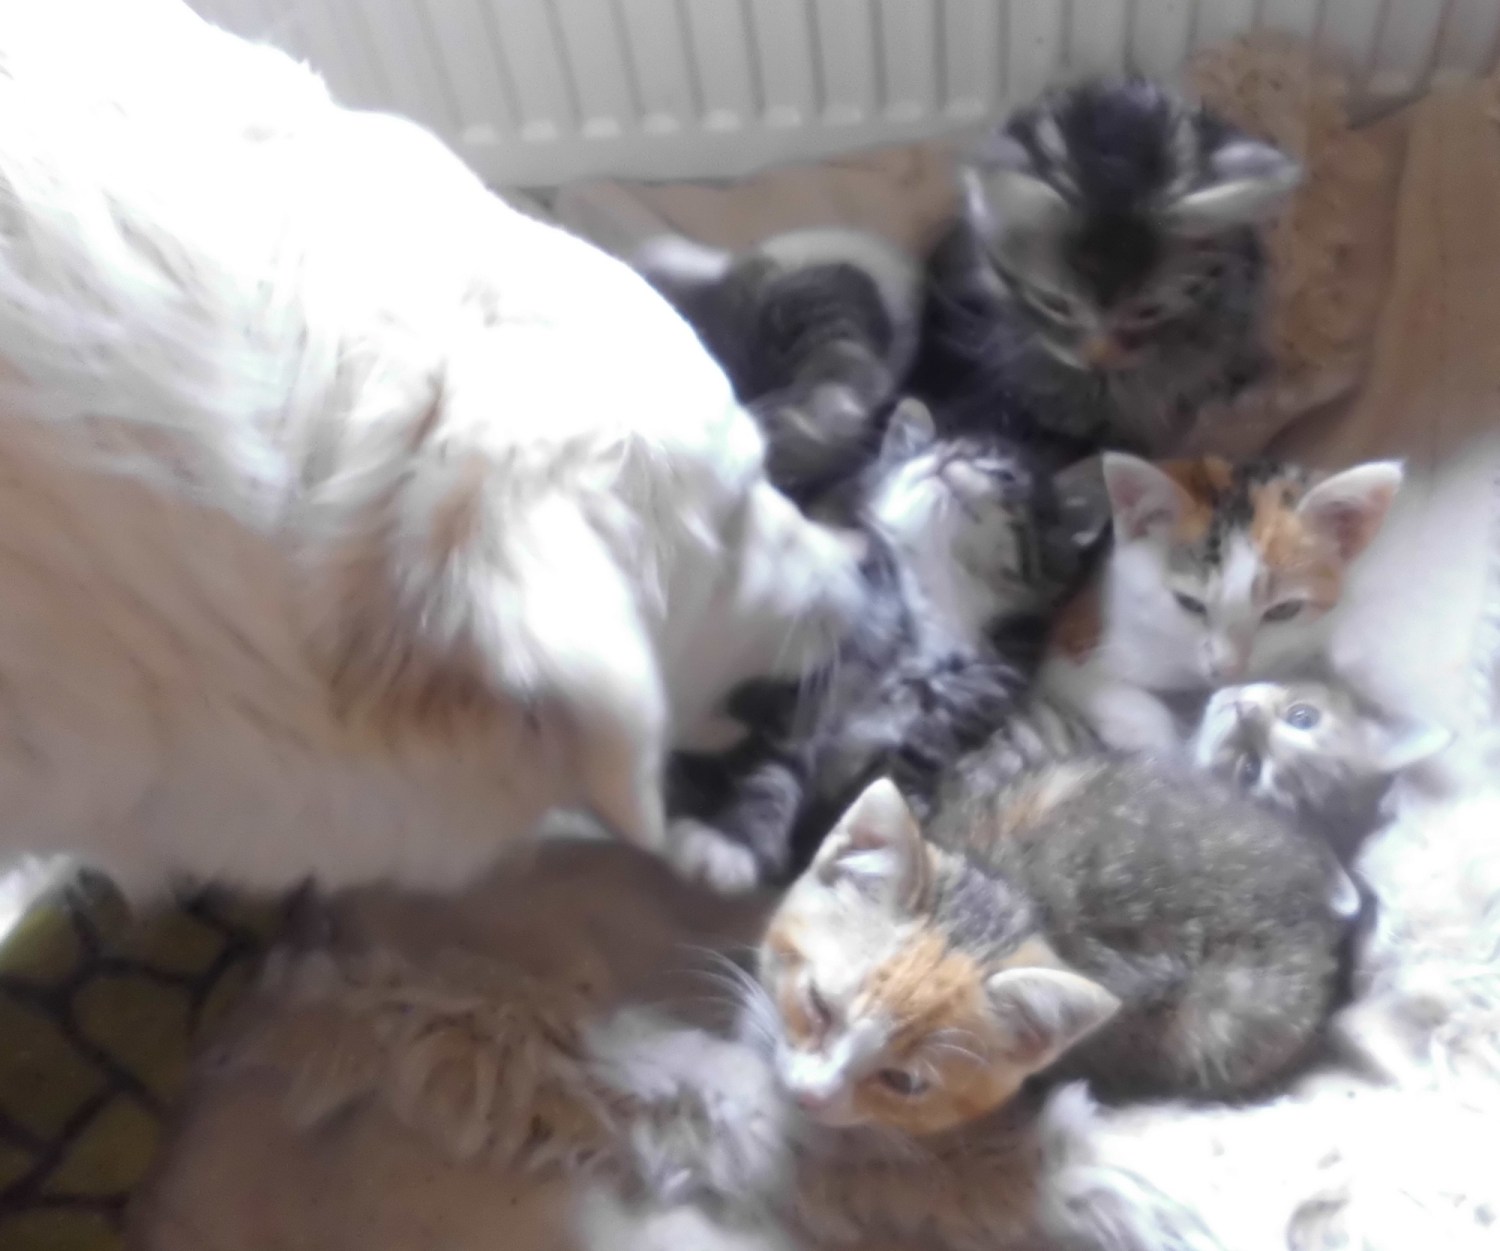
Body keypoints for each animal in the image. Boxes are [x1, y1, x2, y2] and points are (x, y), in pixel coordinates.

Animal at [666, 400, 1102, 891]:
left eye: (1004, 475)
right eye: (934, 449)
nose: (947, 457)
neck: (931, 607)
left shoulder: (936, 736)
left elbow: (877, 795)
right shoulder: (805, 693)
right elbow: (770, 769)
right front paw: (730, 842)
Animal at [1041, 452, 1403, 754]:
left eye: (1283, 610)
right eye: (1189, 603)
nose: (1227, 668)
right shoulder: (1071, 643)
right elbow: (1100, 688)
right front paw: (1160, 739)